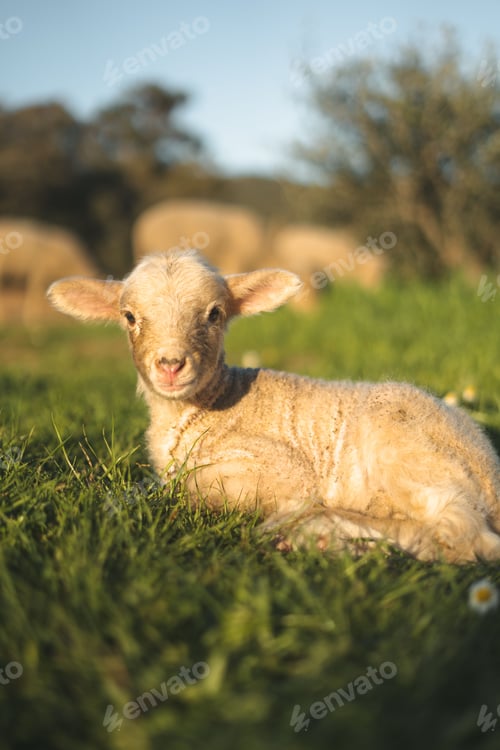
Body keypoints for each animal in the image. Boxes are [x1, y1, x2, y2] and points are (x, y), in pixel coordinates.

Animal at [47, 249, 500, 563]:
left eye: (215, 314)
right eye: (129, 316)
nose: (171, 365)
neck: (214, 403)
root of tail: (488, 465)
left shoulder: (286, 471)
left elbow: (187, 488)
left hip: (403, 442)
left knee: (460, 535)